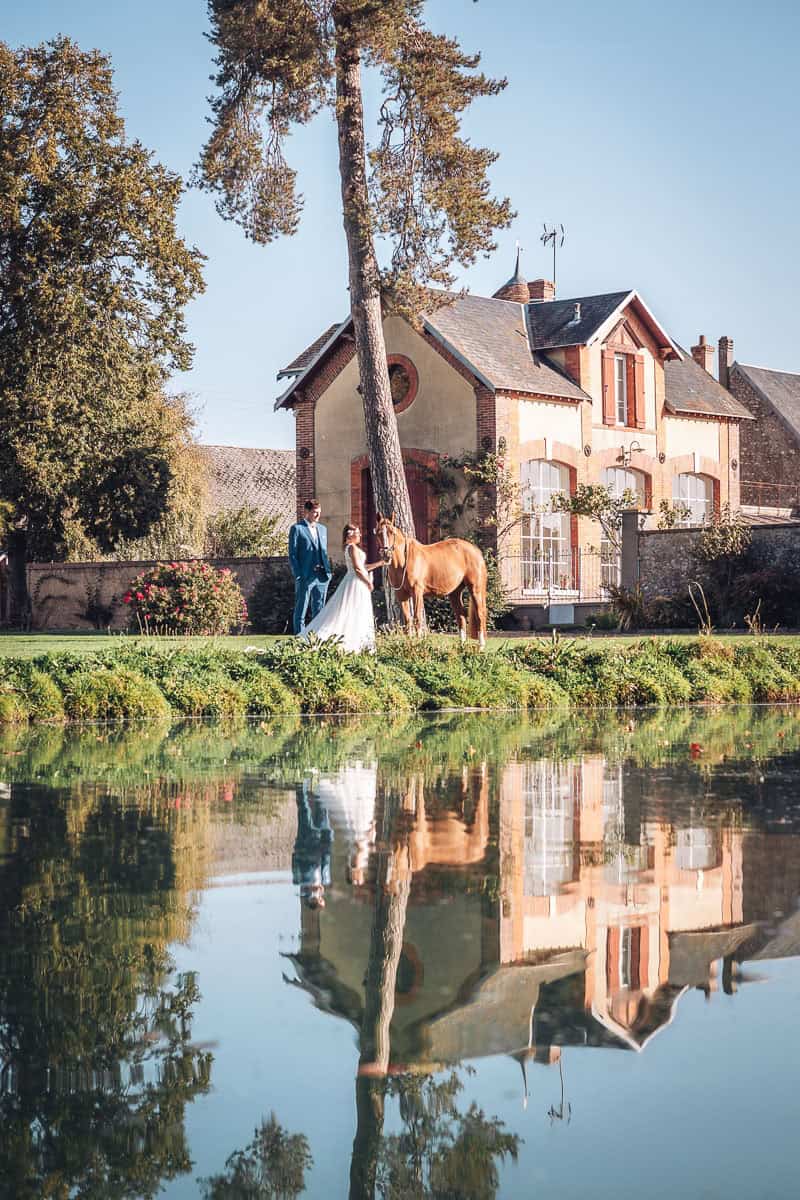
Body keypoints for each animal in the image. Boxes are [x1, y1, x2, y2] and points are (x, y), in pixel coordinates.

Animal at [374, 512, 488, 647]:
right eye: (378, 532)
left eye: (392, 532)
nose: (386, 554)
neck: (403, 562)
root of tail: (476, 550)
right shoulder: (401, 595)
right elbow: (407, 620)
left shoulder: (417, 592)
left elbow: (417, 618)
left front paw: (418, 644)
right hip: (455, 592)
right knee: (460, 616)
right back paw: (462, 647)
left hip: (475, 588)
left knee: (480, 614)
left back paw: (481, 647)